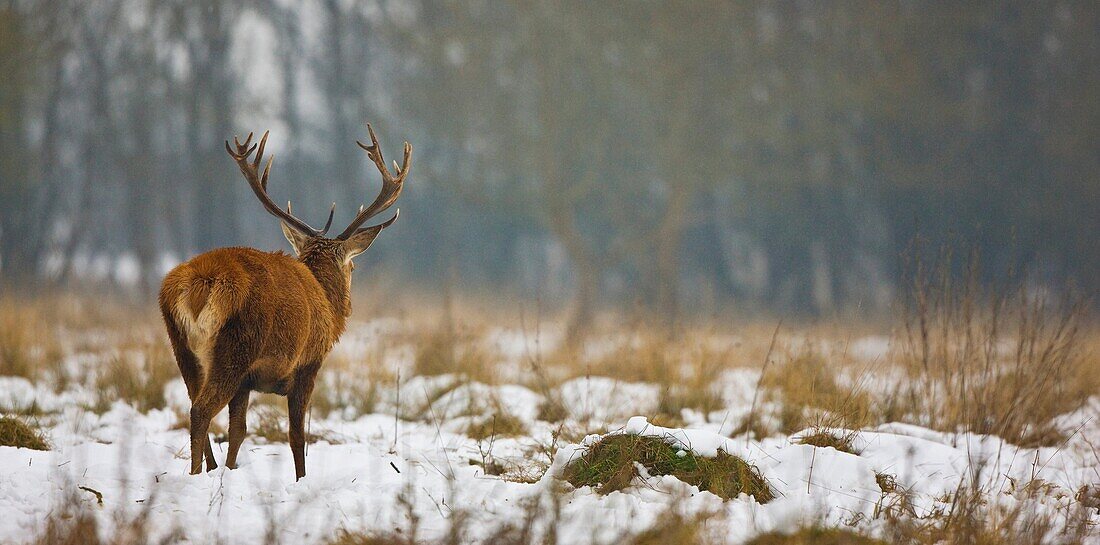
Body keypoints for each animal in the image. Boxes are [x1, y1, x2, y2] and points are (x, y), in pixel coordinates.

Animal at [157, 124, 411, 482]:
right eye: (353, 266)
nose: (349, 306)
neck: (325, 300)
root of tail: (199, 285)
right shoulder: (308, 363)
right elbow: (296, 435)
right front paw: (301, 479)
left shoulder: (247, 383)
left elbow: (239, 431)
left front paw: (230, 469)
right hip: (235, 347)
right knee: (200, 410)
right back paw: (195, 475)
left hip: (182, 347)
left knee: (193, 401)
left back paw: (208, 468)